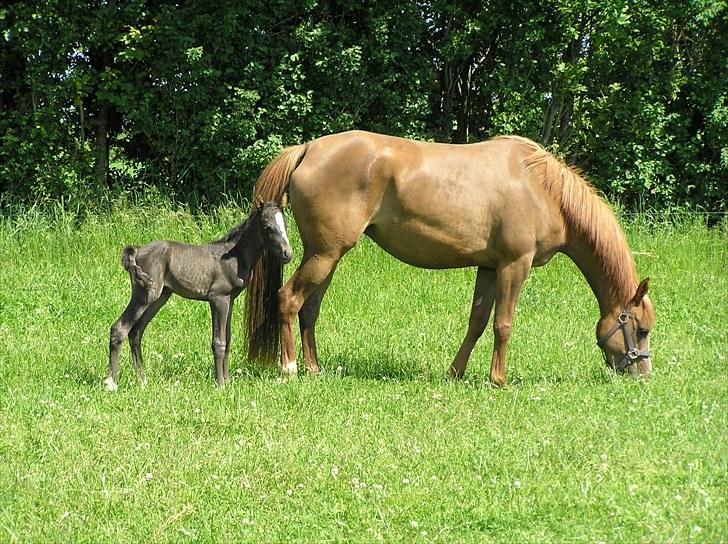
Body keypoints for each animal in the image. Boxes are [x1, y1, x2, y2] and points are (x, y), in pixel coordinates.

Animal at [105, 201, 292, 392]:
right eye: (267, 226)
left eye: (285, 225)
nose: (288, 253)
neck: (235, 256)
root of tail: (137, 250)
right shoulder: (218, 298)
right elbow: (219, 342)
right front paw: (220, 385)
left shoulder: (230, 300)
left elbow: (228, 340)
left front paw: (228, 382)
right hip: (145, 294)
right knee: (119, 329)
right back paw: (112, 383)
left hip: (160, 297)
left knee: (136, 332)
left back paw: (143, 381)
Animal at [245, 131, 656, 386]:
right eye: (642, 329)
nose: (643, 374)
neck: (542, 189)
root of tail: (307, 149)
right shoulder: (515, 265)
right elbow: (503, 324)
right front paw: (499, 380)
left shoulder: (489, 267)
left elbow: (477, 322)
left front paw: (456, 372)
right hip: (325, 254)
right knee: (288, 300)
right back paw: (290, 368)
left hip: (327, 256)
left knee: (309, 309)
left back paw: (314, 369)